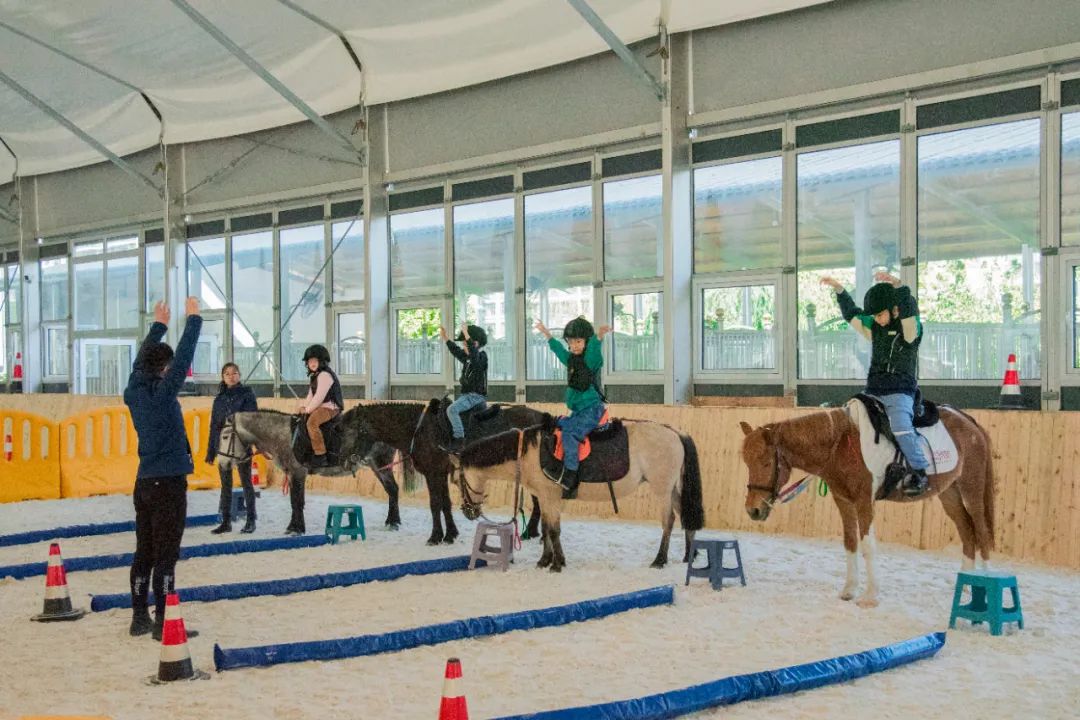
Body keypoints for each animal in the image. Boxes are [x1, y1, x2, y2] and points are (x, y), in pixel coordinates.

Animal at [444, 416, 699, 574]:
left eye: (456, 481)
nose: (468, 511)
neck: (528, 454)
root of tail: (675, 432)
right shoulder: (545, 498)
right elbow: (547, 527)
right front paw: (546, 560)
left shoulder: (551, 497)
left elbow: (553, 530)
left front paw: (556, 564)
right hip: (674, 490)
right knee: (686, 516)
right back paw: (689, 555)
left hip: (662, 490)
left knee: (668, 521)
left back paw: (660, 560)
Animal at [743, 405, 993, 608]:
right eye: (746, 462)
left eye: (765, 462)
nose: (753, 510)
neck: (840, 446)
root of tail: (968, 421)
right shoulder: (844, 501)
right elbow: (850, 542)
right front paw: (849, 590)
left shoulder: (864, 502)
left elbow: (868, 546)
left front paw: (870, 596)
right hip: (949, 493)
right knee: (967, 532)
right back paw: (966, 583)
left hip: (971, 490)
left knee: (981, 532)